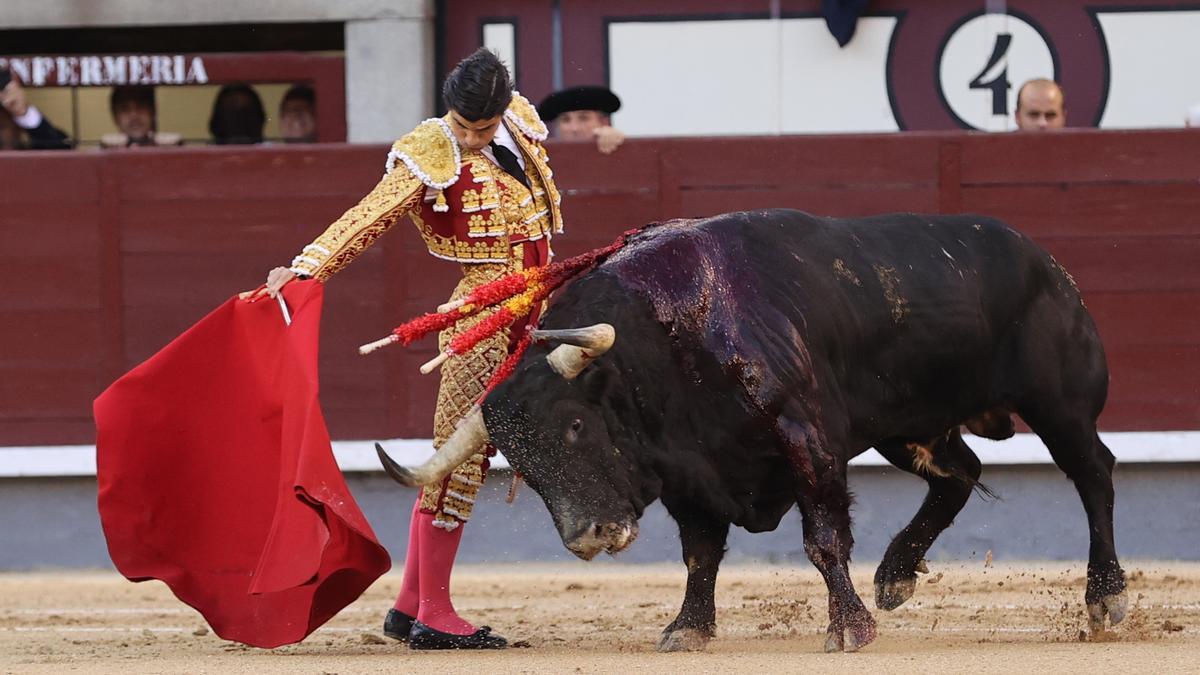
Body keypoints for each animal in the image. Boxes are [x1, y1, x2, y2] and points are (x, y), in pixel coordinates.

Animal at [379, 210, 1128, 653]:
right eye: (521, 466)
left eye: (574, 423)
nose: (587, 537)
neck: (663, 343)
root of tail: (1041, 255)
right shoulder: (686, 472)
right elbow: (699, 555)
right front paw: (687, 630)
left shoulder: (808, 440)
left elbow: (822, 540)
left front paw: (850, 629)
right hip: (907, 422)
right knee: (960, 474)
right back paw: (895, 575)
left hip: (1058, 401)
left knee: (1093, 473)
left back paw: (1106, 597)